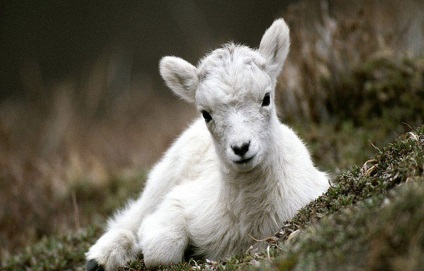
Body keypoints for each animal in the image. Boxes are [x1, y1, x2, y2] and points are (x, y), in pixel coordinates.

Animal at [86, 19, 330, 271]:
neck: (249, 220)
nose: (241, 148)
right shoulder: (176, 203)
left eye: (266, 98)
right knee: (131, 218)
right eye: (206, 114)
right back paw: (101, 256)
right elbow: (160, 249)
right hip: (161, 181)